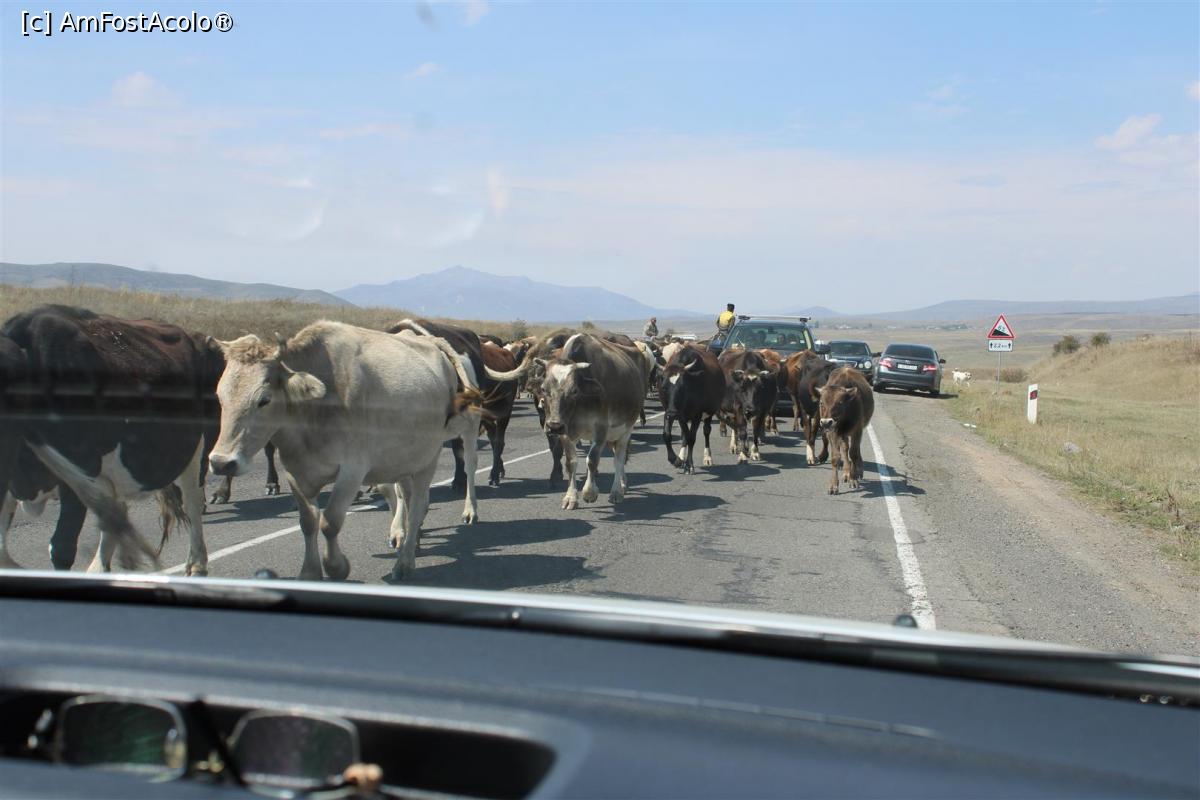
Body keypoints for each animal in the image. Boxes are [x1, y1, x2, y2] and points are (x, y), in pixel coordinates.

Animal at [0, 305, 218, 575]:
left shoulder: (81, 470)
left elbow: (62, 546)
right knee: (115, 511)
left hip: (197, 452)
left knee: (193, 502)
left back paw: (197, 564)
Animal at [207, 321, 483, 581]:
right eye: (220, 396)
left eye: (264, 400)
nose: (221, 462)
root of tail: (434, 342)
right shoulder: (295, 472)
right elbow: (308, 522)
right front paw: (309, 573)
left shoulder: (352, 471)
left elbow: (330, 521)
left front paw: (337, 567)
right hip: (404, 457)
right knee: (406, 495)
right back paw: (408, 541)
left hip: (430, 456)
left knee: (420, 503)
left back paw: (406, 562)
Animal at [487, 333, 650, 510]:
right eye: (544, 388)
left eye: (574, 390)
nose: (553, 426)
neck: (581, 402)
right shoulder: (565, 432)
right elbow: (571, 462)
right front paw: (571, 497)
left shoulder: (601, 428)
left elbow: (592, 460)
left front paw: (589, 493)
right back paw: (623, 484)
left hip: (626, 429)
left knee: (619, 458)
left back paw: (617, 491)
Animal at [659, 344, 725, 473]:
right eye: (664, 387)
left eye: (682, 387)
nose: (672, 413)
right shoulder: (672, 413)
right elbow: (667, 434)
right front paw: (675, 460)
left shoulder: (696, 415)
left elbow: (691, 438)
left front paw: (689, 465)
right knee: (684, 435)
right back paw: (681, 457)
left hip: (709, 413)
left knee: (706, 431)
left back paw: (707, 457)